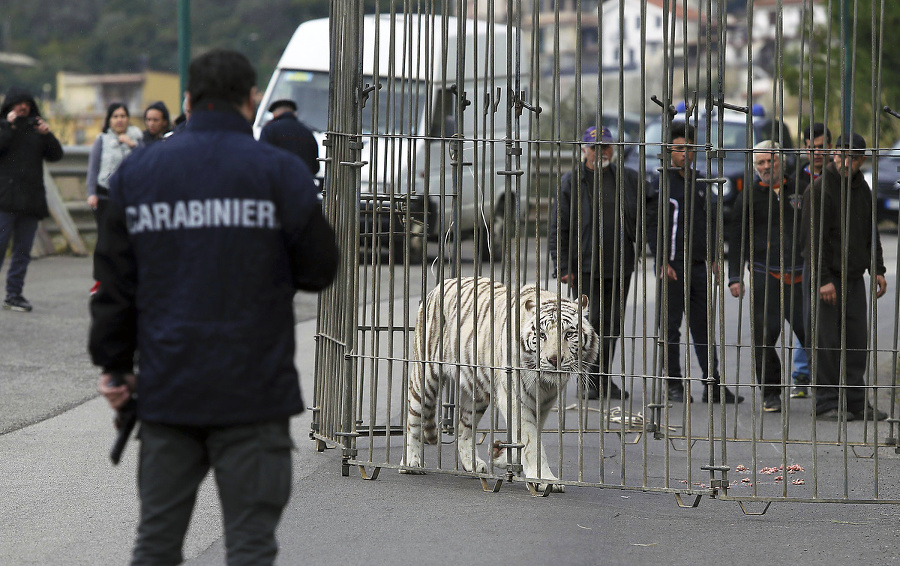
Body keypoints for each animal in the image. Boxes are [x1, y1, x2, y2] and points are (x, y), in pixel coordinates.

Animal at [404, 278, 600, 492]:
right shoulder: (515, 397)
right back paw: (411, 463)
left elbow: (526, 438)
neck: (544, 384)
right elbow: (531, 441)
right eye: (541, 335)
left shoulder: (544, 404)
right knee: (414, 421)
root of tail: (442, 283)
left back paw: (473, 465)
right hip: (425, 377)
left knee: (464, 429)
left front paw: (500, 455)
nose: (554, 360)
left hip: (476, 394)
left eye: (569, 334)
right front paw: (545, 480)